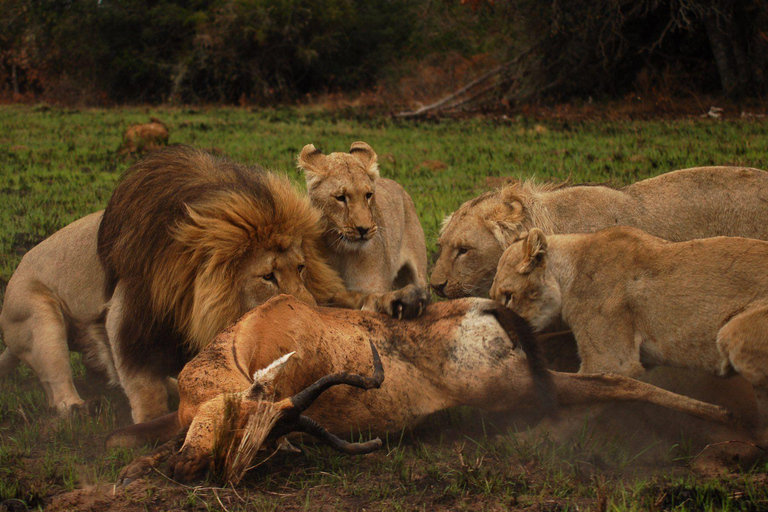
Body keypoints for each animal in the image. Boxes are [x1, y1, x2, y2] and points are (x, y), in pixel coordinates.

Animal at [110, 295, 733, 483]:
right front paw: (139, 464)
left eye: (262, 441)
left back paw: (728, 422)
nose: (192, 470)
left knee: (609, 378)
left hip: (511, 384)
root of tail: (481, 306)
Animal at [490, 227, 768, 440]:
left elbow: (584, 398)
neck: (569, 273)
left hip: (733, 333)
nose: (504, 332)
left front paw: (528, 442)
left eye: (508, 296)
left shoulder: (613, 361)